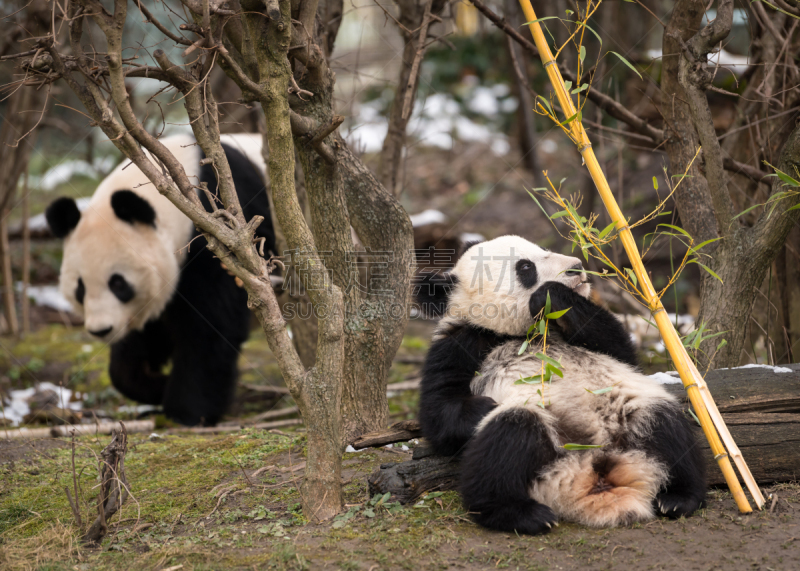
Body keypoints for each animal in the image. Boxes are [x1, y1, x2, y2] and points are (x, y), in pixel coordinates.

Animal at [44, 136, 276, 426]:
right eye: (80, 288)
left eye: (118, 284)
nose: (101, 330)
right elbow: (146, 338)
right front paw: (154, 385)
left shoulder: (221, 237)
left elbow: (211, 325)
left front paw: (188, 411)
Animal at [418, 236, 708, 536]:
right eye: (525, 267)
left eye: (543, 249)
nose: (576, 266)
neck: (521, 333)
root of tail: (591, 472)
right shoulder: (462, 343)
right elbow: (440, 414)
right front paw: (484, 405)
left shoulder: (595, 342)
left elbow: (618, 348)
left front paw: (553, 295)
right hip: (541, 448)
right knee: (506, 440)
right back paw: (522, 515)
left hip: (629, 412)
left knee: (668, 429)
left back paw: (677, 498)